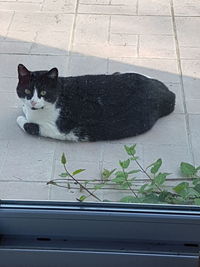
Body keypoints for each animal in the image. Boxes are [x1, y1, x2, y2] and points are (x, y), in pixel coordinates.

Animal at [16, 64, 175, 142]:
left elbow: (29, 125)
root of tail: (168, 94)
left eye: (43, 93)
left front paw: (23, 116)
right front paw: (25, 107)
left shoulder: (55, 130)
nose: (33, 102)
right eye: (27, 91)